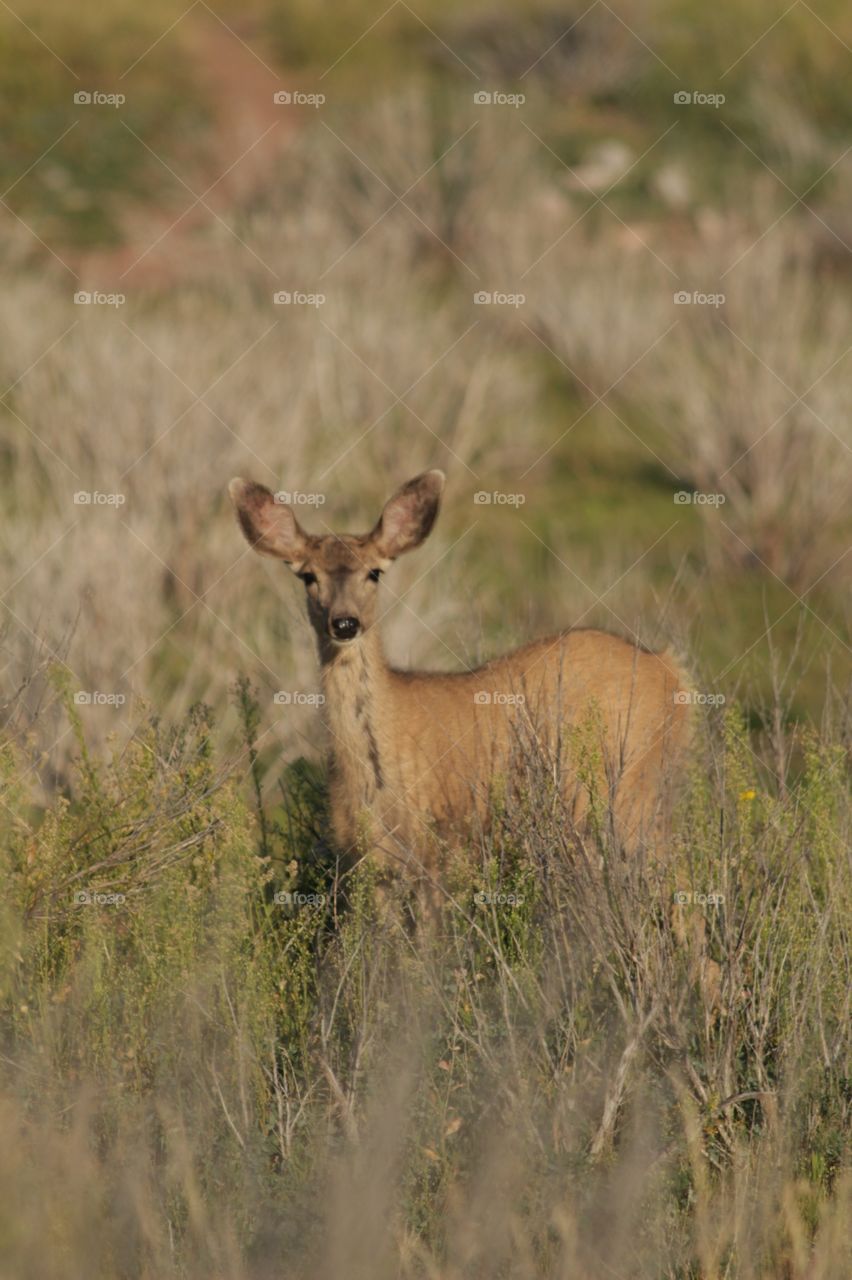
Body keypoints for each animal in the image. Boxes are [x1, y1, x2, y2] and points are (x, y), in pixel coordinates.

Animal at [228, 470, 693, 893]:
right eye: (308, 576)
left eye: (374, 573)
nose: (344, 623)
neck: (373, 769)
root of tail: (671, 669)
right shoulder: (368, 861)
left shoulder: (436, 844)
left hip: (632, 785)